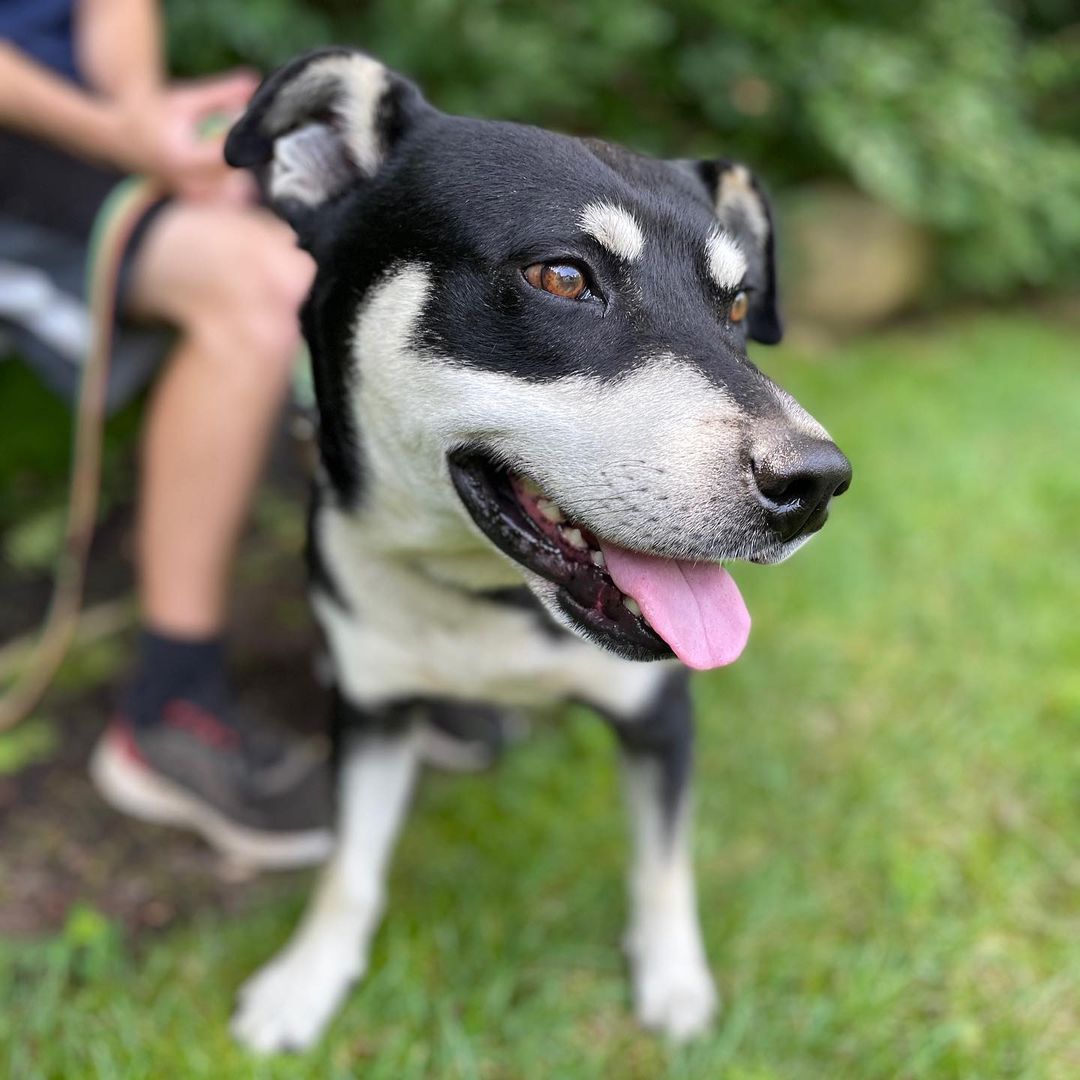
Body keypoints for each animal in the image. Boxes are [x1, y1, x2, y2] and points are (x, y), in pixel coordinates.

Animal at [225, 46, 851, 1049]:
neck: (489, 596)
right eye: (562, 278)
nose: (816, 485)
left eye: (739, 303)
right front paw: (305, 980)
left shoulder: (659, 714)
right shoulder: (371, 708)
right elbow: (349, 866)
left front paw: (674, 982)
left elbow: (662, 862)